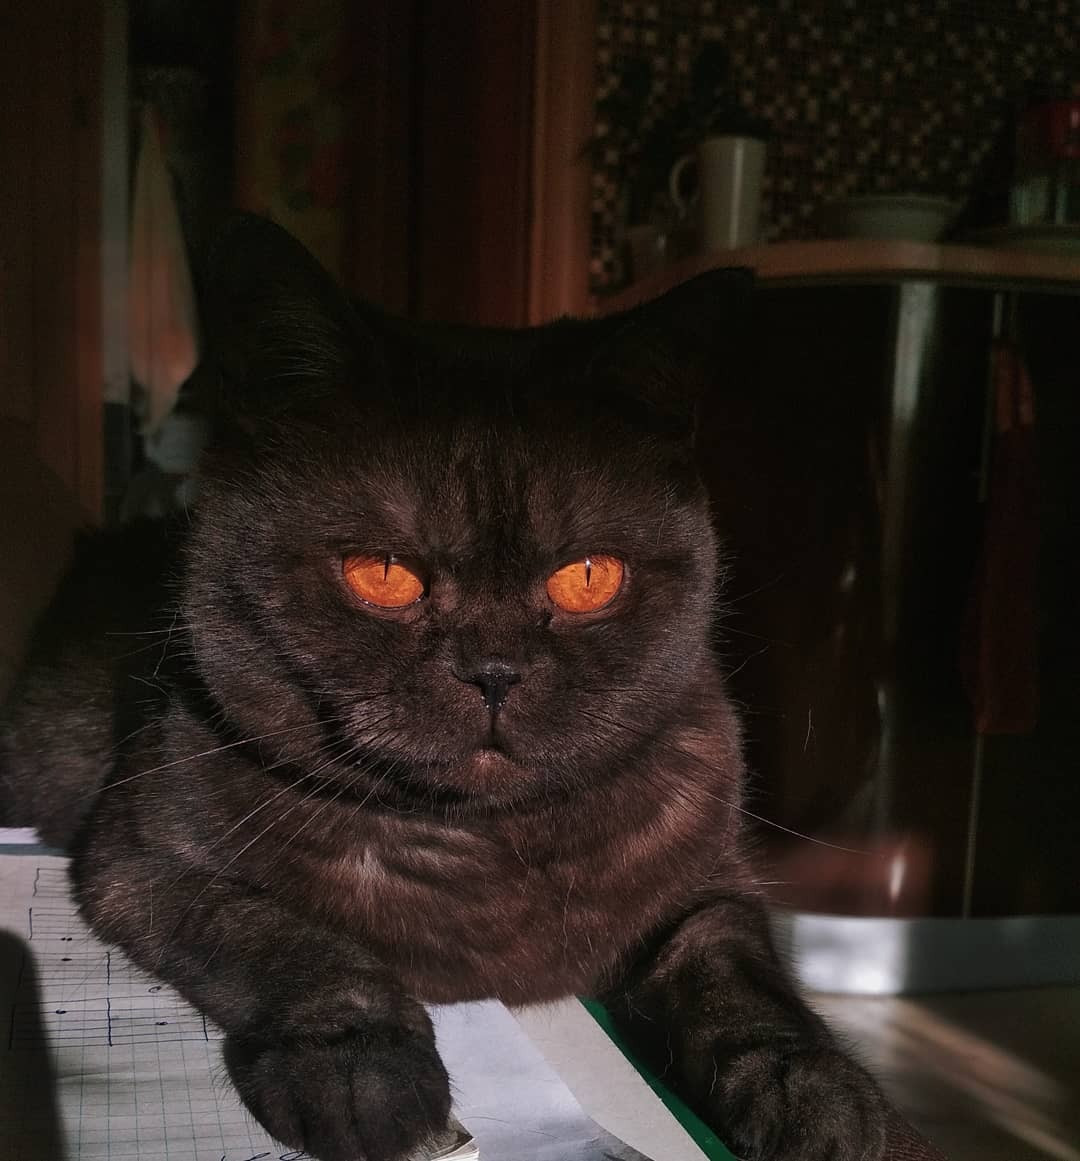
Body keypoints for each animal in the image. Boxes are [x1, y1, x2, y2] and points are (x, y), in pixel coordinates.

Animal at [1, 214, 933, 1161]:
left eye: (588, 576)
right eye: (382, 573)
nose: (493, 669)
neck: (487, 857)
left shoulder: (710, 876)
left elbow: (740, 977)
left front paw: (824, 1096)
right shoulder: (139, 859)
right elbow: (294, 938)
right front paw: (366, 1070)